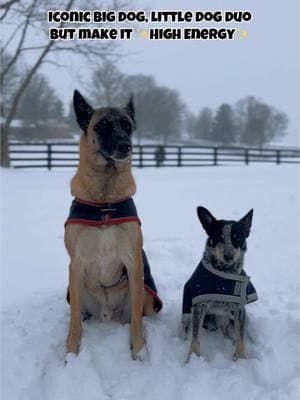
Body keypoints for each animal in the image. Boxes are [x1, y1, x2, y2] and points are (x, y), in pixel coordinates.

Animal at [64, 90, 161, 362]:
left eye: (127, 126)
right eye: (103, 125)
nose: (125, 146)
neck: (104, 202)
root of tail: (107, 313)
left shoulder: (133, 260)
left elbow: (137, 323)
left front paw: (139, 352)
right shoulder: (76, 263)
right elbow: (74, 324)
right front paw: (71, 354)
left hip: (145, 294)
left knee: (138, 315)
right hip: (74, 287)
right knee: (78, 314)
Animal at [183, 208, 258, 360]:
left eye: (238, 238)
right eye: (218, 237)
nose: (228, 256)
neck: (224, 275)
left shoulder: (239, 309)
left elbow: (241, 336)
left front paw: (241, 359)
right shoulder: (199, 306)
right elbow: (195, 338)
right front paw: (193, 358)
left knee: (232, 332)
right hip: (188, 315)